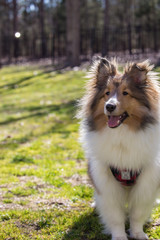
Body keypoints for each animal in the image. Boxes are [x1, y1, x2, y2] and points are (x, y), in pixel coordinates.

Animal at [78, 58, 160, 240]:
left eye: (126, 93)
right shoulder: (106, 182)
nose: (109, 106)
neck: (121, 134)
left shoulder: (146, 182)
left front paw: (138, 233)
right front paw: (119, 236)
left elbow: (137, 213)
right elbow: (115, 216)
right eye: (107, 93)